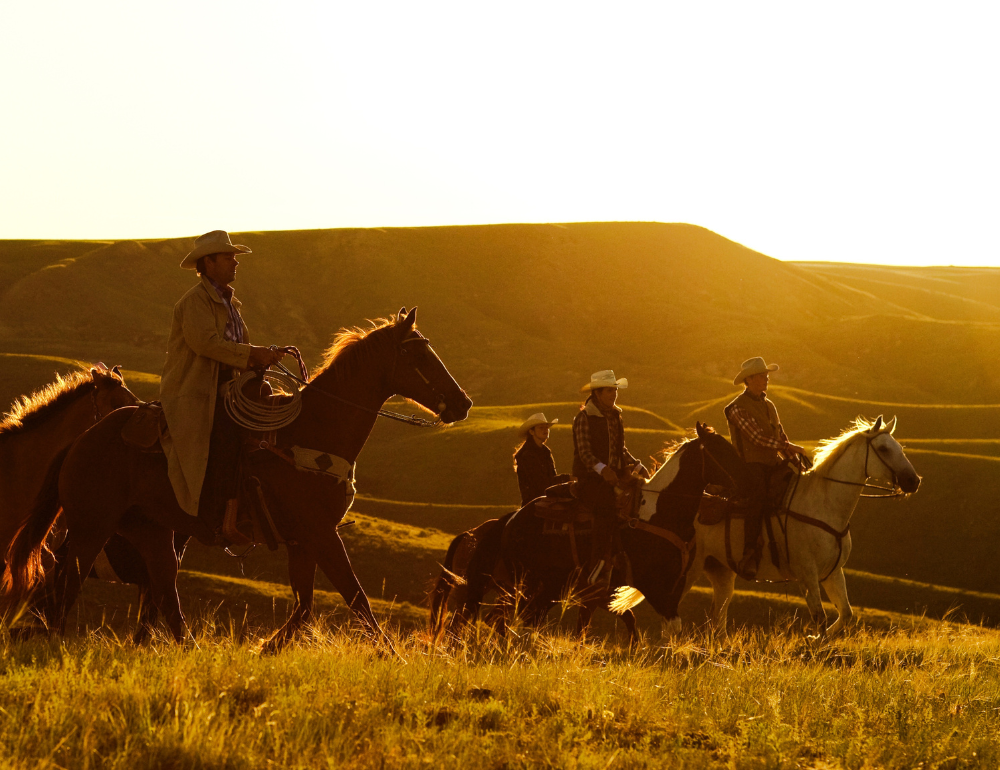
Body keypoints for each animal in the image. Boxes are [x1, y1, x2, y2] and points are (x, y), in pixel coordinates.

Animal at [3, 308, 472, 652]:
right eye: (419, 356)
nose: (463, 403)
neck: (314, 431)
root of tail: (81, 440)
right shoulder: (321, 534)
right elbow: (356, 599)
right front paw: (393, 658)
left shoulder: (303, 540)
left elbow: (305, 606)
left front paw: (266, 651)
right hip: (92, 527)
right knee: (66, 584)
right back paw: (53, 641)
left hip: (151, 532)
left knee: (163, 593)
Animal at [688, 414, 920, 636]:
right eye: (883, 448)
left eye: (900, 448)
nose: (913, 481)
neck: (824, 505)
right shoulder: (807, 574)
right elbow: (819, 617)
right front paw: (813, 642)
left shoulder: (833, 572)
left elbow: (846, 614)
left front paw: (815, 640)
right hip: (692, 568)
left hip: (721, 572)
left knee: (716, 619)